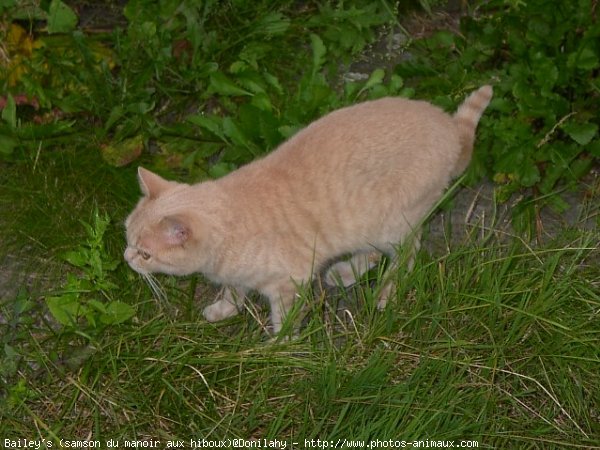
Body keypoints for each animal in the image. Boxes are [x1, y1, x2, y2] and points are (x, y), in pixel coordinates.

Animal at [125, 85, 492, 330]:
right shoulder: (237, 275)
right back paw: (346, 272)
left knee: (407, 253)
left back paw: (385, 292)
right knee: (375, 252)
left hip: (393, 223)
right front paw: (224, 309)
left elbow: (285, 320)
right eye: (127, 238)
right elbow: (233, 290)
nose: (127, 259)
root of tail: (450, 127)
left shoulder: (291, 281)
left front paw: (277, 350)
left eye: (146, 254)